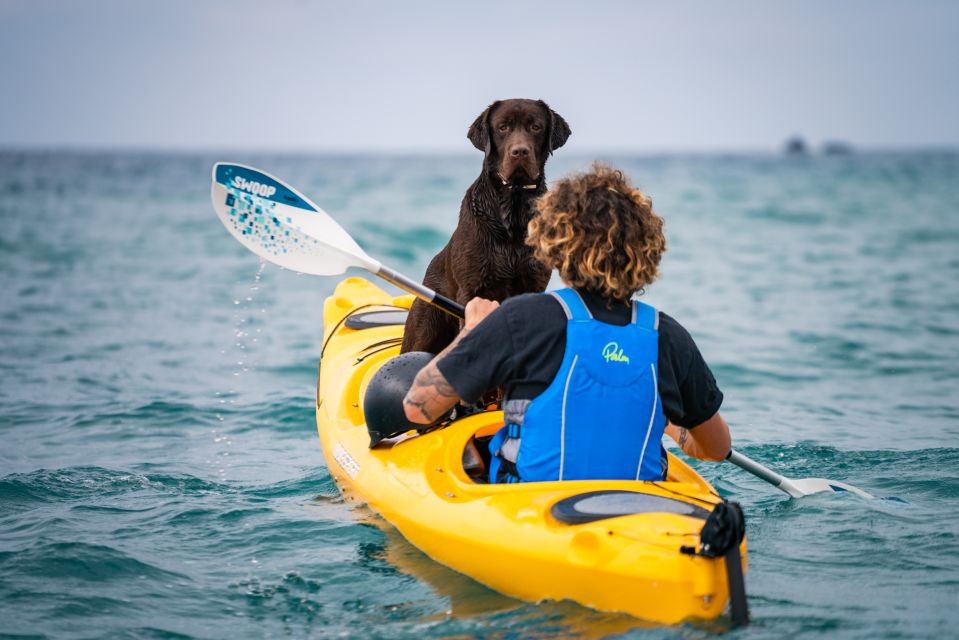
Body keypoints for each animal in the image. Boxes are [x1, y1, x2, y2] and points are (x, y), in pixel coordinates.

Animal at [400, 99, 568, 356]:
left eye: (536, 127)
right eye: (502, 127)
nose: (520, 151)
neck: (513, 207)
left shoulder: (534, 284)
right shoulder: (471, 290)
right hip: (424, 326)